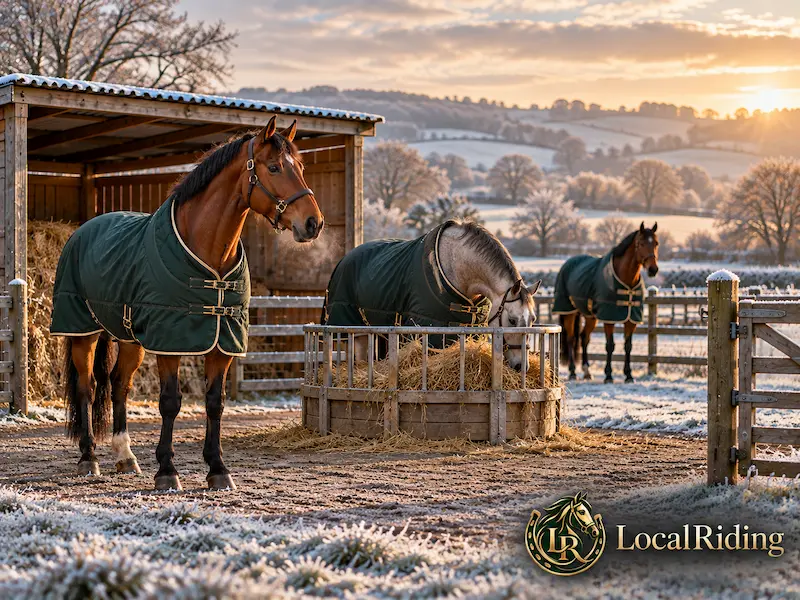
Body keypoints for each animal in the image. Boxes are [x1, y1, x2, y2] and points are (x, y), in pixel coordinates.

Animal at [50, 116, 323, 491]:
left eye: (302, 167)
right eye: (274, 167)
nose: (313, 223)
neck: (210, 257)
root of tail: (83, 229)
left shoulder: (222, 343)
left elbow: (215, 403)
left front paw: (218, 469)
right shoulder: (170, 343)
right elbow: (170, 402)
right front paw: (167, 471)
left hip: (130, 338)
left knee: (119, 385)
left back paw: (125, 455)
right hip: (83, 331)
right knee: (87, 388)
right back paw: (88, 458)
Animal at [553, 222, 659, 383]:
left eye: (656, 243)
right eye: (641, 243)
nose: (653, 269)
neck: (626, 280)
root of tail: (568, 263)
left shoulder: (631, 320)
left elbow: (628, 346)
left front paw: (629, 375)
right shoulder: (609, 318)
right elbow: (610, 345)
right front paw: (608, 375)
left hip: (590, 316)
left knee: (584, 338)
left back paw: (587, 371)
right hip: (569, 312)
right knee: (571, 339)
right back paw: (572, 372)